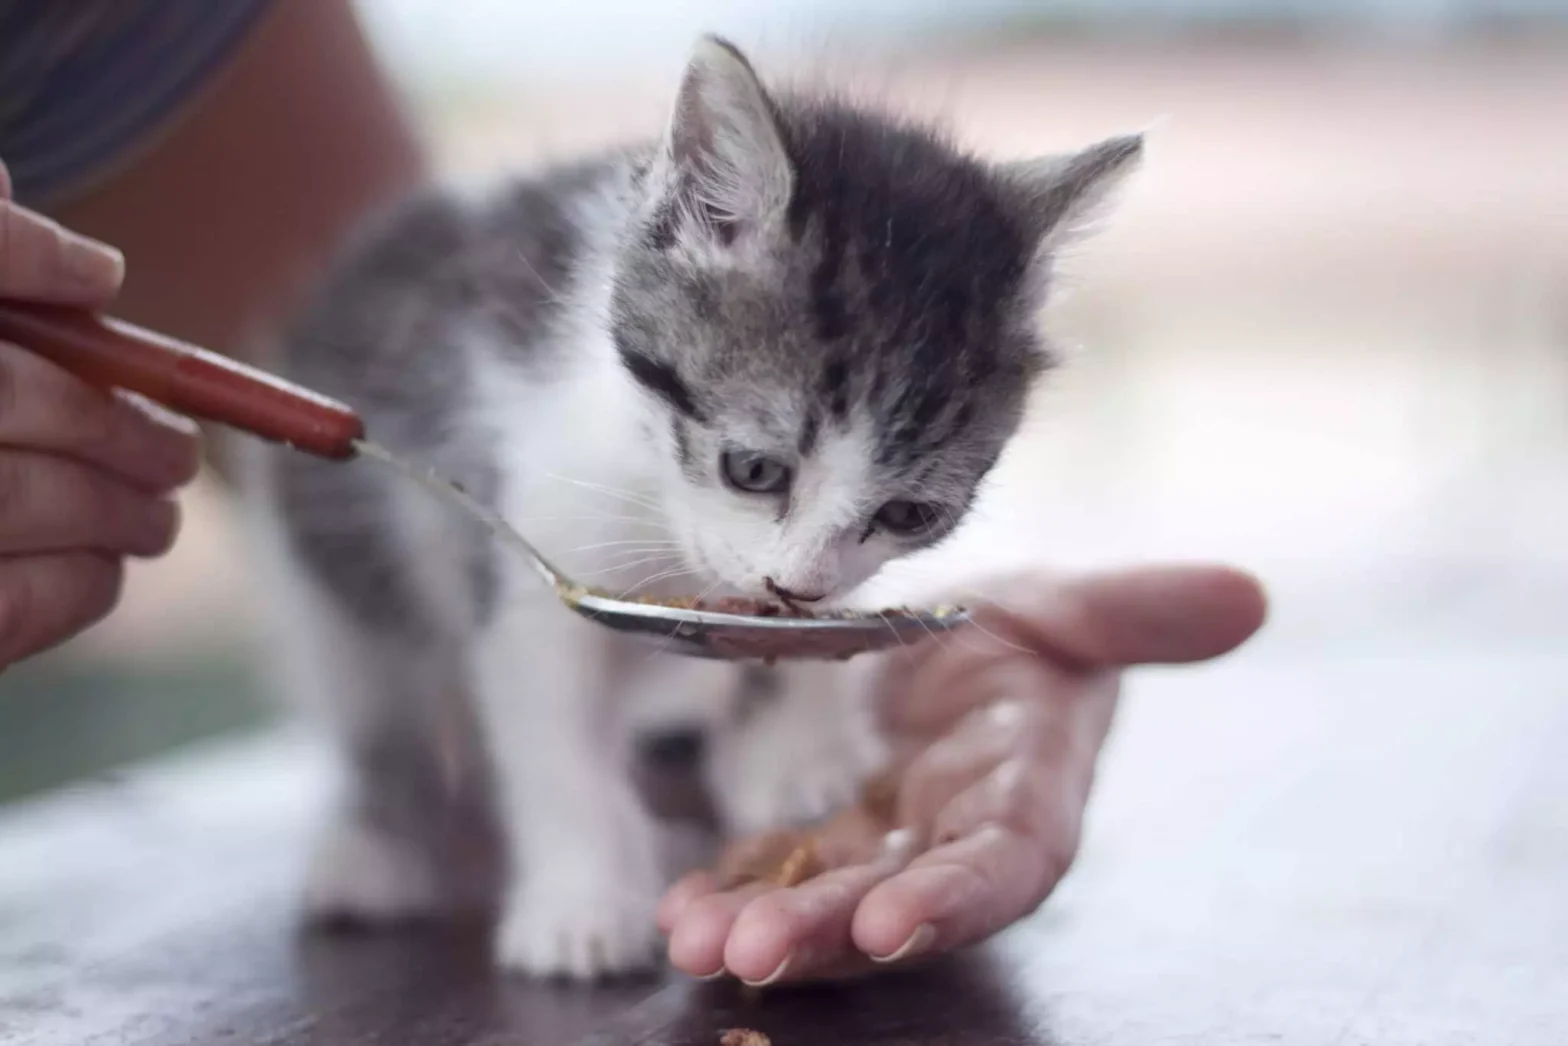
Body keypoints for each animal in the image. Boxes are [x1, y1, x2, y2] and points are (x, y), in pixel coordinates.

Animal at [250, 34, 1147, 984]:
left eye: (910, 514)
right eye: (753, 468)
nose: (799, 585)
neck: (652, 491)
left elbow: (781, 640)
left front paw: (797, 752)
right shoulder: (521, 540)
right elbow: (550, 737)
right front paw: (583, 904)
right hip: (322, 564)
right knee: (374, 699)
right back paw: (379, 846)